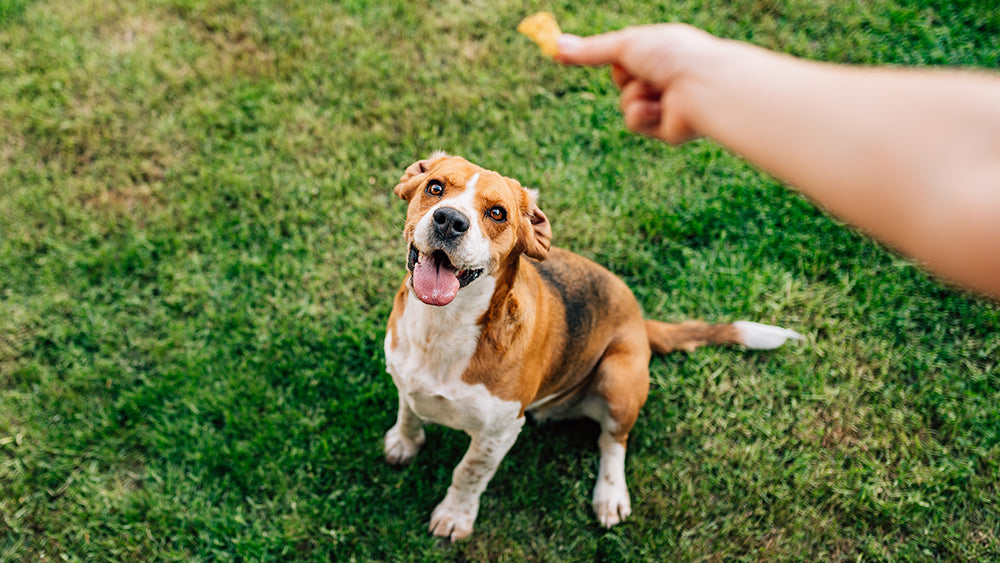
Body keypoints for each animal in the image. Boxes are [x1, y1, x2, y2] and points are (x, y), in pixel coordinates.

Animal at [378, 152, 800, 540]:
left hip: (618, 379)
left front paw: (455, 516)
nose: (450, 220)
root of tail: (640, 321)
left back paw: (610, 496)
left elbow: (467, 473)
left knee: (613, 441)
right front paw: (404, 443)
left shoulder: (498, 433)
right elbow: (408, 411)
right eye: (435, 188)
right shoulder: (404, 377)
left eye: (497, 213)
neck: (442, 327)